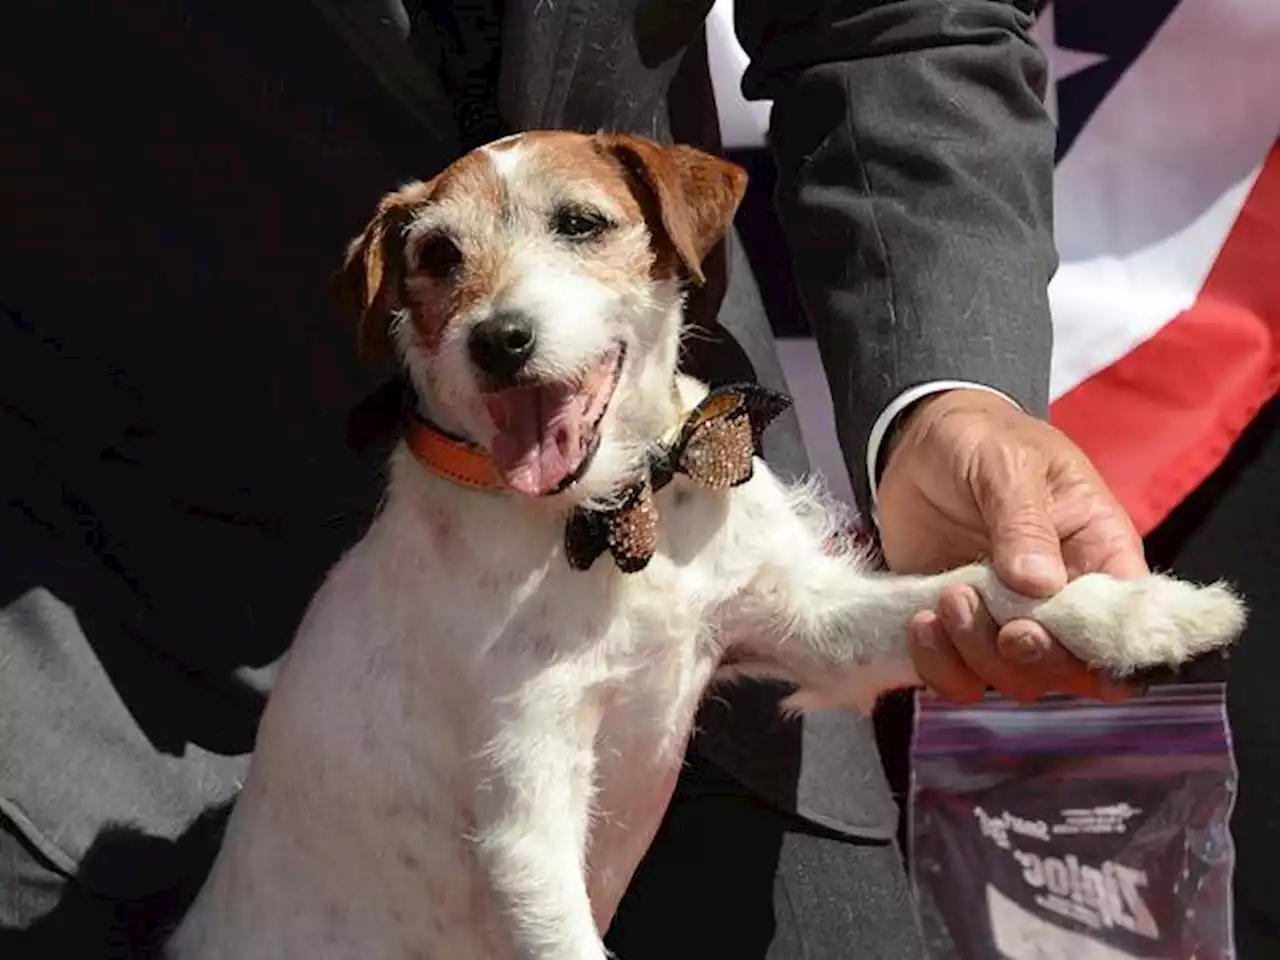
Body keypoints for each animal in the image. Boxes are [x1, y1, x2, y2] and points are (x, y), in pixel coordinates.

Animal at [167, 129, 1239, 960]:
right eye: (435, 257)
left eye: (580, 224)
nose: (498, 341)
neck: (611, 514)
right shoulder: (525, 818)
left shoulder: (808, 624)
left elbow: (981, 581)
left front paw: (1143, 612)